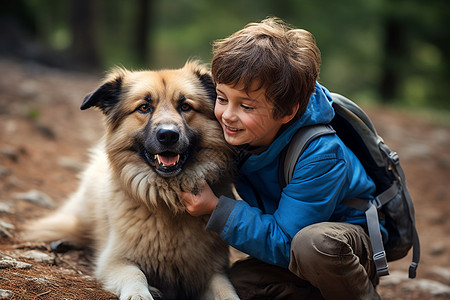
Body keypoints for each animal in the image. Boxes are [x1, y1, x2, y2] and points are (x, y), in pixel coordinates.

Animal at [25, 61, 239, 300]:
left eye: (185, 106)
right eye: (144, 108)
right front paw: (140, 294)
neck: (166, 198)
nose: (168, 135)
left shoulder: (212, 270)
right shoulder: (114, 261)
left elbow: (226, 290)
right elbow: (135, 274)